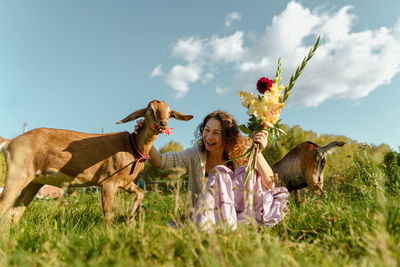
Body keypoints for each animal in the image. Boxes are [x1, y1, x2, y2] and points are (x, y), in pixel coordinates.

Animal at [0, 100, 194, 226]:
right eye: (149, 110)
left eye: (170, 112)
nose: (163, 124)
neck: (133, 147)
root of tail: (9, 142)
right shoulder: (108, 182)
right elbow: (108, 214)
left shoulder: (125, 182)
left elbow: (140, 193)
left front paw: (130, 220)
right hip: (18, 173)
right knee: (4, 205)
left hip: (34, 181)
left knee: (15, 211)